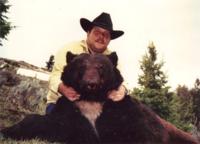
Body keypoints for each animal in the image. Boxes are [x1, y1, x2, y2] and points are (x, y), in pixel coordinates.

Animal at [0, 51, 198, 143]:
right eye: (82, 66)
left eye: (101, 67)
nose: (91, 83)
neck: (92, 99)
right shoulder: (71, 111)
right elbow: (41, 123)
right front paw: (7, 129)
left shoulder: (124, 111)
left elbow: (145, 131)